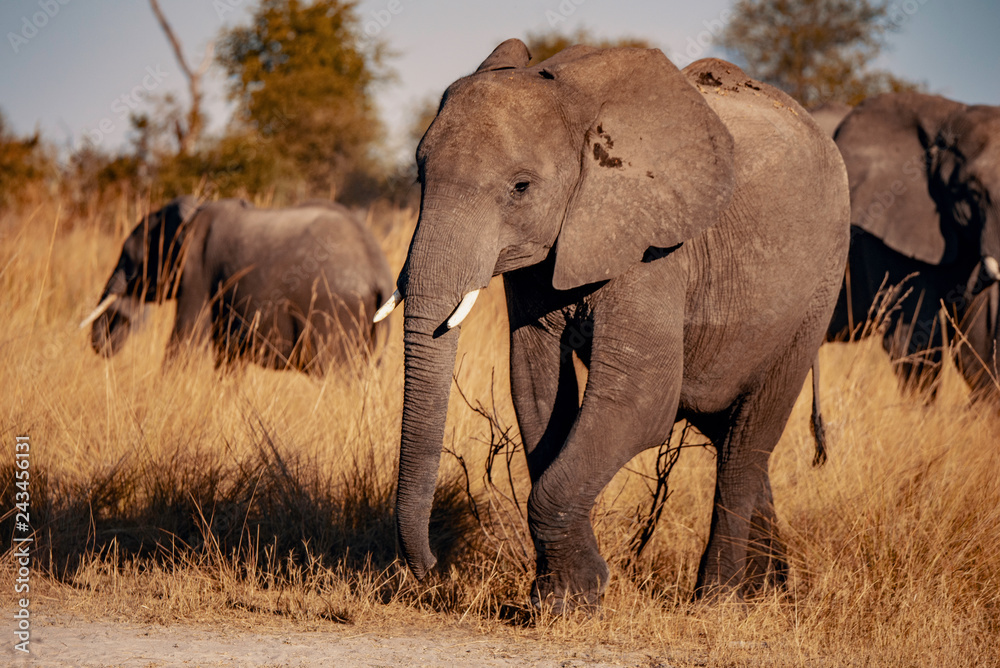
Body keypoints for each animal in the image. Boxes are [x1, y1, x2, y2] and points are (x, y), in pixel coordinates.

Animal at [83, 197, 394, 373]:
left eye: (128, 258)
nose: (113, 332)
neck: (192, 210)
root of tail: (380, 270)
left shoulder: (198, 271)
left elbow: (185, 341)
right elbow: (229, 357)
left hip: (335, 311)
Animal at [375, 40, 850, 609]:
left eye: (520, 188)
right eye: (420, 178)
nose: (431, 569)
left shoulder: (655, 246)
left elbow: (640, 400)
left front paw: (571, 600)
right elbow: (535, 386)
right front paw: (564, 596)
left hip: (816, 293)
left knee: (747, 444)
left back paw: (718, 599)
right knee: (732, 436)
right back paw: (769, 592)